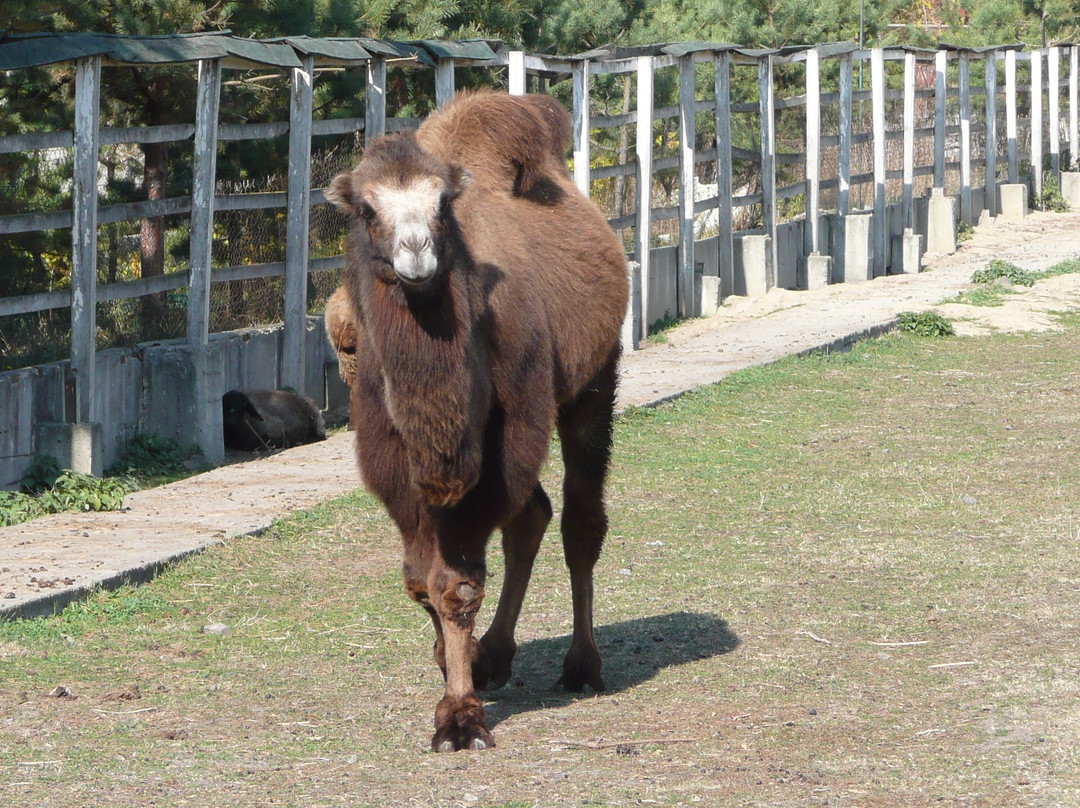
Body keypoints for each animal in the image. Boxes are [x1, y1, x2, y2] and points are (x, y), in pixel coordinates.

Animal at [324, 91, 630, 756]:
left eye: (442, 204)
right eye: (367, 209)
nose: (416, 252)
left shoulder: (502, 438)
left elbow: (456, 583)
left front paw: (460, 719)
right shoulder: (393, 458)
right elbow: (420, 579)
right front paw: (454, 665)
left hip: (593, 380)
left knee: (578, 520)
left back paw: (581, 665)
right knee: (533, 514)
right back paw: (496, 654)